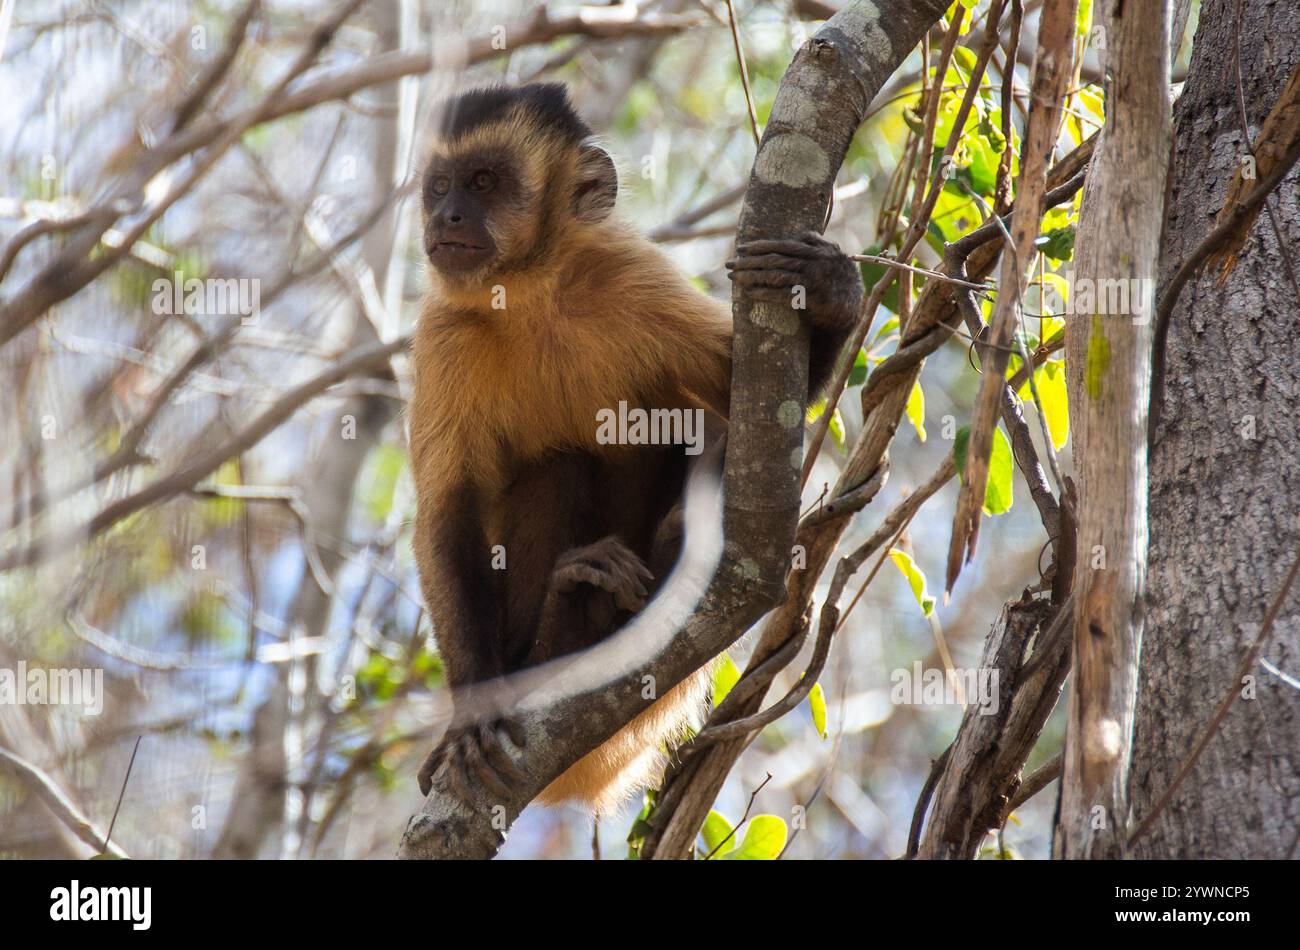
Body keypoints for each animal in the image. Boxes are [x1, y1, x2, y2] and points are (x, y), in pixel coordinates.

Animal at [410, 81, 863, 816]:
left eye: (483, 182)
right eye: (441, 186)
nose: (447, 214)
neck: (530, 293)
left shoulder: (633, 278)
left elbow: (744, 401)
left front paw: (831, 292)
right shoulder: (442, 331)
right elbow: (448, 513)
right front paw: (471, 721)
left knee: (679, 426)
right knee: (558, 465)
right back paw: (560, 625)